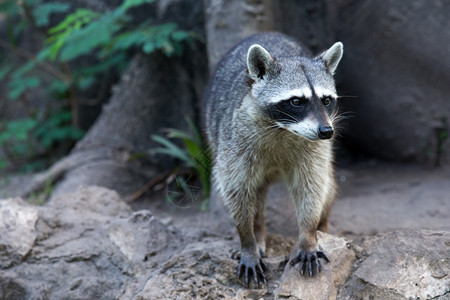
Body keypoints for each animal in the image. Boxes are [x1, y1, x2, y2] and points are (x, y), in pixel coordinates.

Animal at [204, 31, 344, 288]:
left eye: (326, 100)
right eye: (296, 101)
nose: (326, 131)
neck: (283, 128)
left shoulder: (314, 150)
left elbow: (311, 186)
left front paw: (308, 235)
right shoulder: (235, 142)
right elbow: (236, 190)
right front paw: (247, 240)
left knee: (327, 187)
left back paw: (322, 227)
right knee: (255, 193)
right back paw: (258, 231)